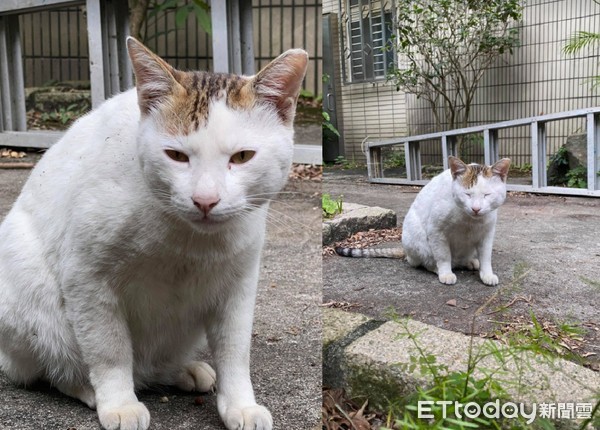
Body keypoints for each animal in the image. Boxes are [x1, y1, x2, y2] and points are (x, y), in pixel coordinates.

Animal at [0, 37, 308, 430]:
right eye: (176, 156)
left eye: (242, 157)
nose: (205, 200)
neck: (187, 241)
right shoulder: (87, 279)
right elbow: (109, 349)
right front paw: (118, 402)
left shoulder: (238, 282)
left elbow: (235, 350)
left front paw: (239, 403)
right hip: (29, 284)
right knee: (53, 367)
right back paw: (88, 387)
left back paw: (181, 371)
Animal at [404, 155, 510, 286]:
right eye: (467, 194)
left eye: (487, 195)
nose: (476, 209)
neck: (469, 220)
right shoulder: (436, 231)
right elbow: (443, 256)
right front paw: (446, 273)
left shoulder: (487, 233)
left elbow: (486, 257)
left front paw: (487, 274)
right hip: (416, 239)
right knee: (425, 261)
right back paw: (436, 268)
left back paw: (470, 262)